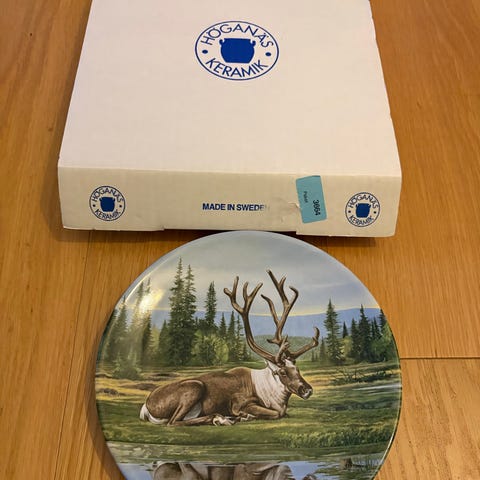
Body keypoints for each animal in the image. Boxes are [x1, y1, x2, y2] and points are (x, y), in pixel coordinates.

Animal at [140, 270, 319, 426]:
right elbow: (276, 414)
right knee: (173, 422)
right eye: (282, 372)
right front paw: (245, 416)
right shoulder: (239, 403)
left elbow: (283, 413)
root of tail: (146, 407)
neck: (272, 396)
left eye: (297, 368)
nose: (307, 390)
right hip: (194, 387)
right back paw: (221, 419)